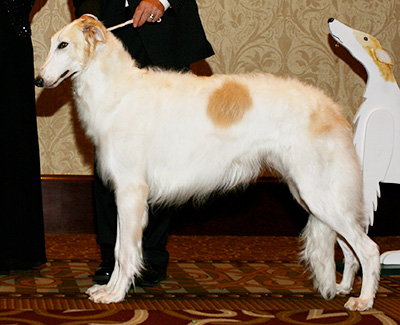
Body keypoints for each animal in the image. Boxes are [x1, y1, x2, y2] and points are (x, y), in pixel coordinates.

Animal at [35, 14, 382, 308]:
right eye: (53, 43)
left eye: (63, 45)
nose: (38, 80)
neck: (118, 91)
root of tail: (331, 109)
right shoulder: (126, 192)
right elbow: (121, 247)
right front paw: (106, 289)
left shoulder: (131, 191)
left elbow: (124, 250)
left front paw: (116, 294)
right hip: (312, 195)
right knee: (350, 249)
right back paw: (343, 288)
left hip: (318, 193)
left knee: (368, 249)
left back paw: (364, 301)